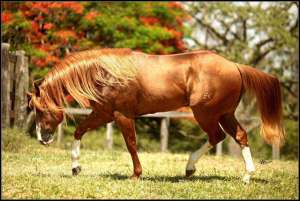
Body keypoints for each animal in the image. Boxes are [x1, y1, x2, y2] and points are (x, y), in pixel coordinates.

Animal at [27, 48, 284, 183]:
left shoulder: (120, 115)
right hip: (224, 114)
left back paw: (192, 168)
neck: (106, 73)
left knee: (217, 136)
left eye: (39, 108)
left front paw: (136, 175)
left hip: (206, 113)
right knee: (238, 136)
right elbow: (80, 131)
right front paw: (75, 168)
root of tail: (235, 66)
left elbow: (131, 144)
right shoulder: (104, 113)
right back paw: (245, 176)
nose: (42, 138)